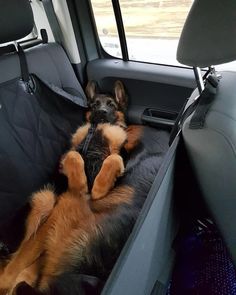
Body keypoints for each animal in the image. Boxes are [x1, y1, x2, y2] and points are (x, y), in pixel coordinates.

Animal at [0, 81, 170, 295]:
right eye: (95, 104)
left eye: (111, 104)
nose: (102, 112)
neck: (98, 128)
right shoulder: (69, 154)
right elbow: (75, 156)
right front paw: (81, 183)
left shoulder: (117, 153)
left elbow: (114, 158)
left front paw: (97, 188)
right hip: (45, 200)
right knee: (18, 257)